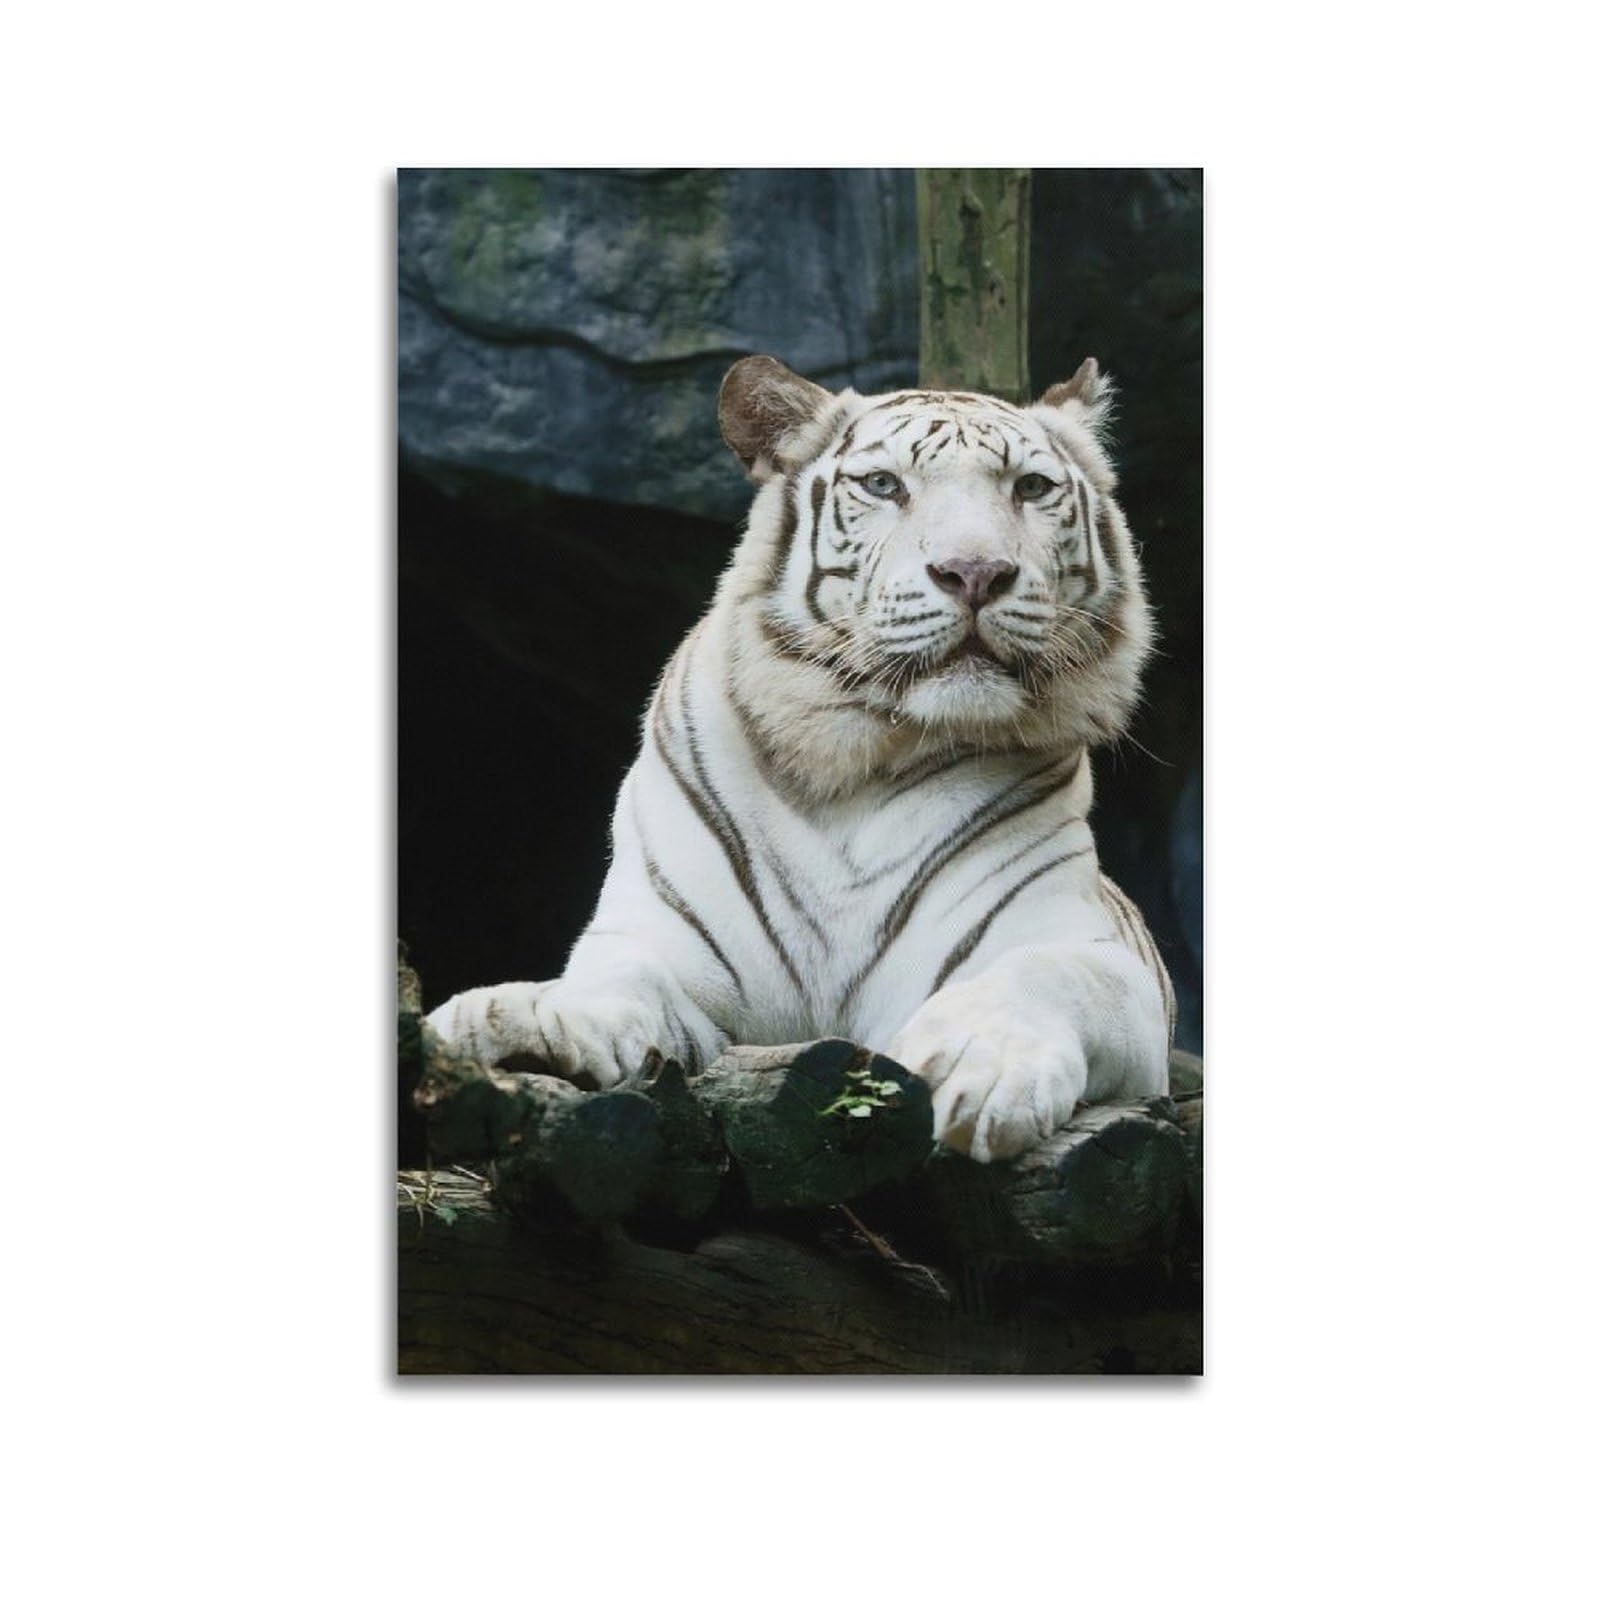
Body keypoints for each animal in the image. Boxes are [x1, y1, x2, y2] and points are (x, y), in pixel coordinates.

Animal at [427, 354, 1175, 1162]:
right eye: (883, 485)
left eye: (1030, 488)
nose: (975, 572)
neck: (858, 765)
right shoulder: (669, 948)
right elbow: (614, 982)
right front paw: (519, 1024)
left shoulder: (1085, 950)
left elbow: (1046, 974)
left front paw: (983, 1064)